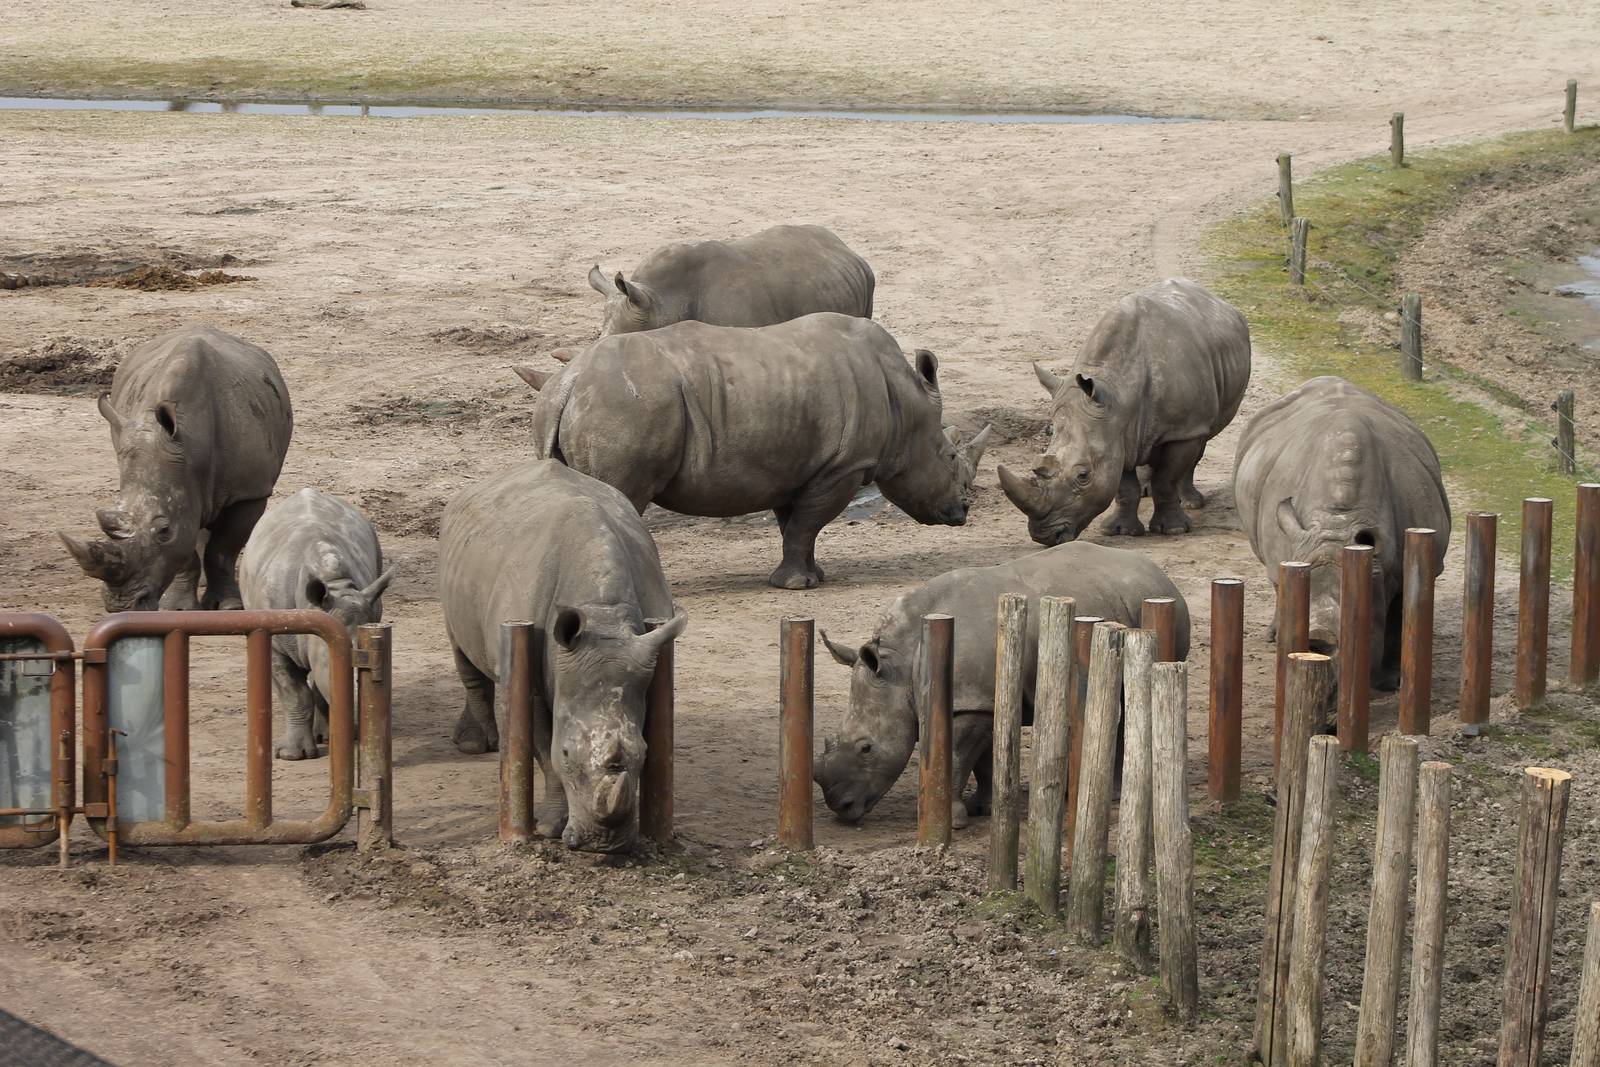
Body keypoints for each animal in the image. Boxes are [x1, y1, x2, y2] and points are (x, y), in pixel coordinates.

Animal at [60, 324, 293, 612]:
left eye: (164, 531)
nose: (122, 605)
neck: (192, 453)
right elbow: (186, 552)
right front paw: (179, 609)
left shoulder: (250, 491)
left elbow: (222, 549)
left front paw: (227, 606)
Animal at [438, 459, 686, 853]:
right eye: (568, 753)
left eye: (644, 753)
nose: (604, 844)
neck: (603, 614)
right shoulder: (535, 678)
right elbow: (544, 749)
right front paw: (551, 827)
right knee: (462, 650)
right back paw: (476, 745)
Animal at [517, 312, 991, 589]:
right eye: (951, 458)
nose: (963, 512)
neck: (905, 405)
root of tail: (568, 384)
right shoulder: (844, 466)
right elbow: (807, 524)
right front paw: (796, 587)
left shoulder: (798, 465)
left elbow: (795, 526)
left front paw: (810, 577)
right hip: (623, 407)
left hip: (593, 406)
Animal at [814, 541, 1190, 826]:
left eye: (866, 748)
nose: (841, 809)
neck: (901, 664)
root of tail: (1161, 574)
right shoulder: (982, 699)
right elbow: (982, 760)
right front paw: (983, 807)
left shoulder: (969, 702)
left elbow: (957, 757)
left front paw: (954, 820)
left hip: (1153, 611)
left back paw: (1110, 795)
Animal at [998, 279, 1251, 545]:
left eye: (1083, 475)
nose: (1044, 536)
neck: (1118, 393)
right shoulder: (1114, 431)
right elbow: (1124, 486)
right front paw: (1120, 531)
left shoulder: (1183, 428)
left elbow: (1167, 479)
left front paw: (1173, 530)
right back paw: (1147, 490)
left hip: (1199, 412)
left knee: (1200, 441)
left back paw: (1191, 503)